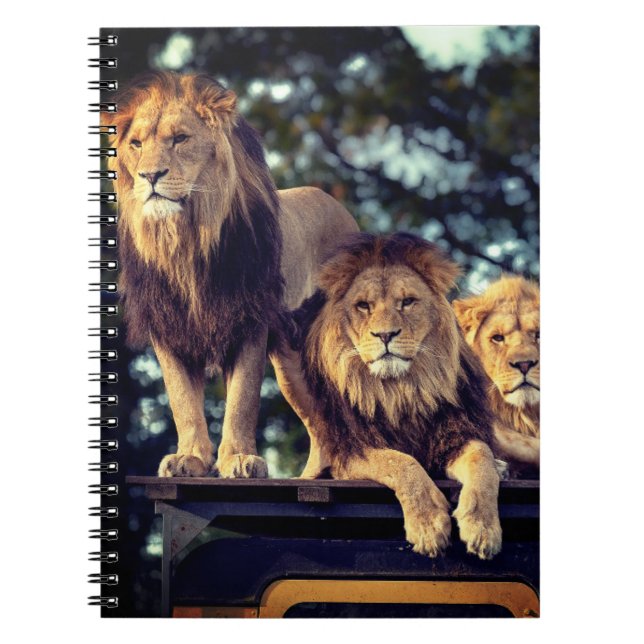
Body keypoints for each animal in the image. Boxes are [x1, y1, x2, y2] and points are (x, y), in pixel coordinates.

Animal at [106, 71, 358, 478]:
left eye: (180, 139)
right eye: (136, 144)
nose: (150, 175)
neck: (185, 241)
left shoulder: (249, 320)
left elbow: (242, 398)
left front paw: (238, 459)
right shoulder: (167, 326)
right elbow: (182, 401)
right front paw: (190, 458)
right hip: (291, 364)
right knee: (322, 426)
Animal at [291, 233, 502, 560]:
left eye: (407, 302)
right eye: (363, 306)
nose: (385, 335)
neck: (400, 392)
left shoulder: (453, 436)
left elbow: (482, 459)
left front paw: (482, 527)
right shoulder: (349, 450)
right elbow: (400, 462)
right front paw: (428, 525)